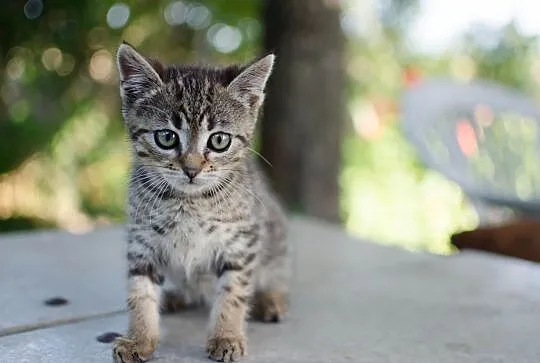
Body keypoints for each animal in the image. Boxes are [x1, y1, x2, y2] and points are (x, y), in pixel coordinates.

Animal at [110, 43, 292, 363]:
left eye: (219, 140)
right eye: (166, 137)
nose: (191, 169)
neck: (189, 202)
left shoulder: (241, 243)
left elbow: (233, 292)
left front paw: (226, 336)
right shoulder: (142, 242)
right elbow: (140, 293)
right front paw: (139, 340)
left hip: (275, 239)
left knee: (275, 276)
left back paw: (270, 300)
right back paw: (176, 297)